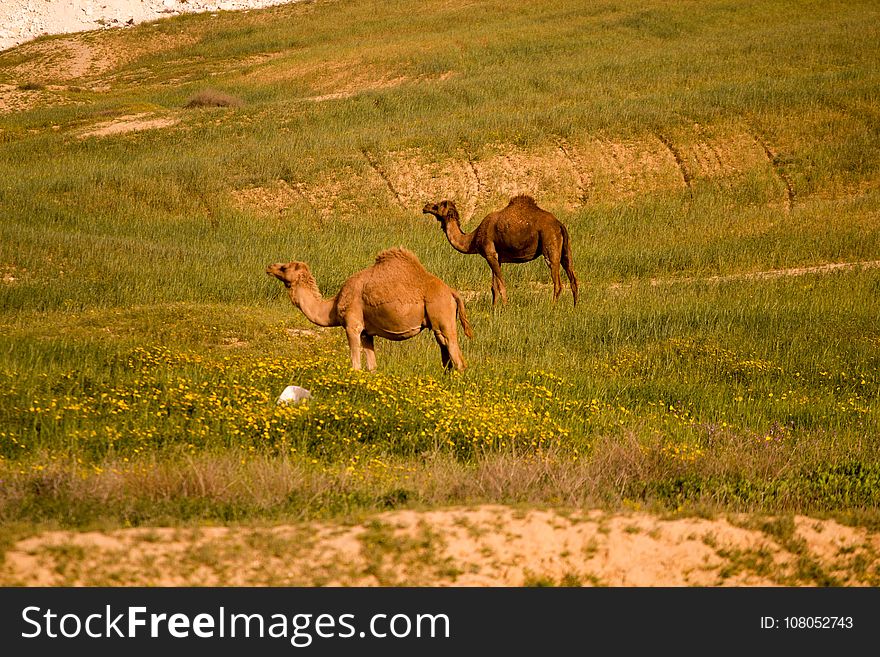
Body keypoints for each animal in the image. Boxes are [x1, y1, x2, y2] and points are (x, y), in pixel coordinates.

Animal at [264, 246, 474, 368]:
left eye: (284, 268)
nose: (269, 266)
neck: (333, 306)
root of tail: (451, 292)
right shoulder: (367, 333)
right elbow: (372, 367)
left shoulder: (352, 325)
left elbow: (356, 365)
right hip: (437, 324)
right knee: (446, 357)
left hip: (442, 315)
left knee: (458, 359)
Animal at [424, 193, 576, 306]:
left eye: (437, 206)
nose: (425, 207)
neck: (474, 238)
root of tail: (559, 224)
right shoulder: (497, 257)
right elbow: (494, 287)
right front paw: (494, 308)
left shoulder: (490, 253)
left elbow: (501, 285)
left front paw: (505, 307)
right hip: (566, 250)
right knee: (573, 277)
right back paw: (575, 307)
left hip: (549, 243)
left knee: (557, 282)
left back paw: (552, 307)